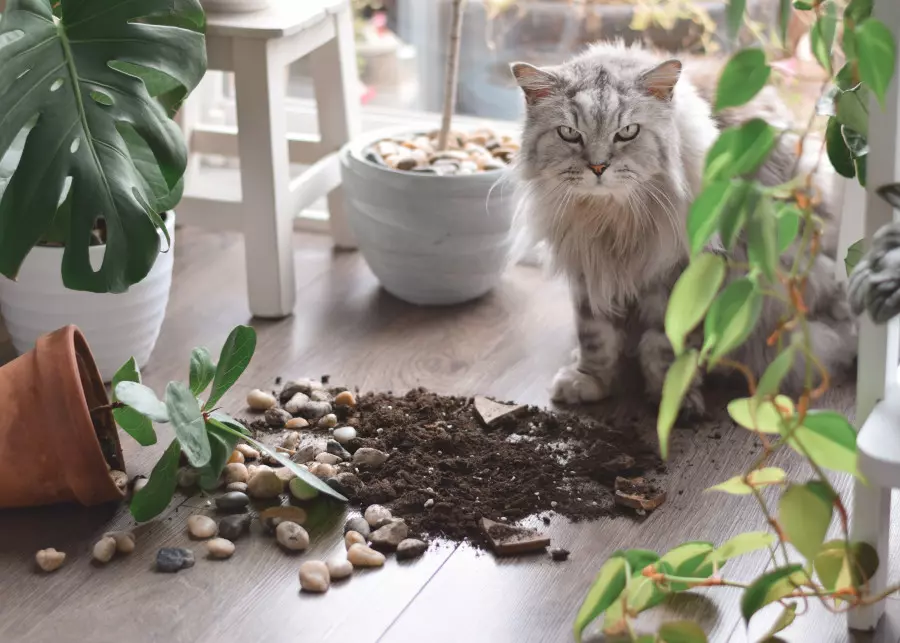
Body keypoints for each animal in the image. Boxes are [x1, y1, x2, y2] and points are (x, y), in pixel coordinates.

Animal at [510, 41, 856, 412]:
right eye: (570, 134)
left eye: (627, 132)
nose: (598, 167)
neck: (614, 221)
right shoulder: (586, 266)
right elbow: (595, 337)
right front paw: (588, 381)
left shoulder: (681, 272)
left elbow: (665, 343)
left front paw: (672, 397)